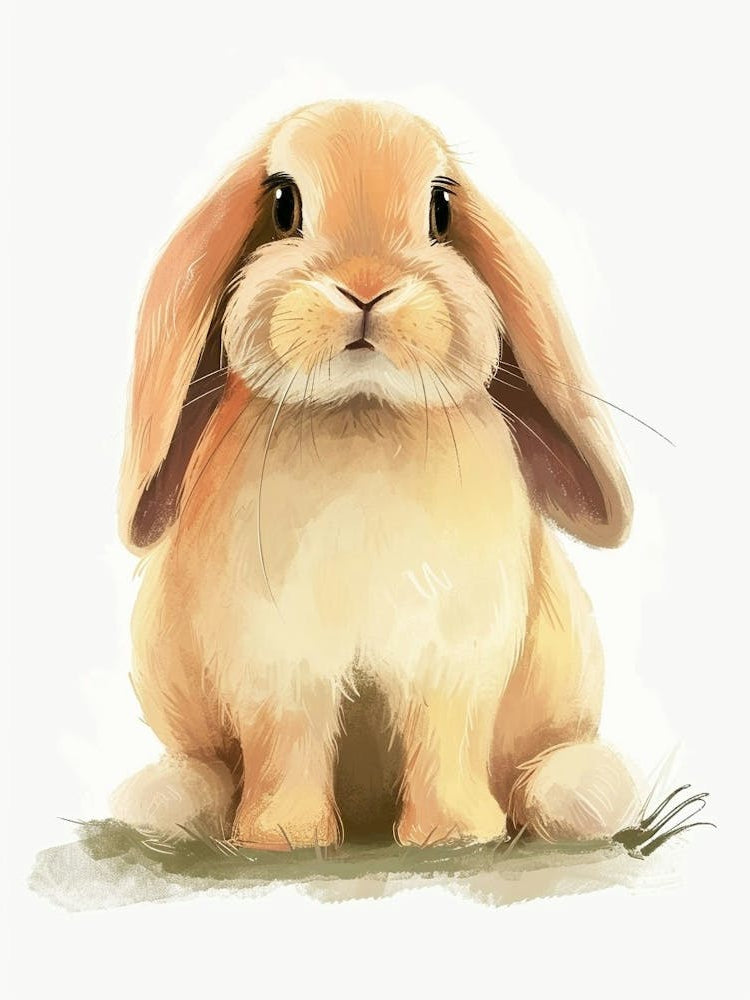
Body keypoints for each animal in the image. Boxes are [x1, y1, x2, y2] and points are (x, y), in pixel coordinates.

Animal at [111, 100, 639, 850]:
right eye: (283, 203)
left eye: (441, 208)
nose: (366, 286)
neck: (360, 413)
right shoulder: (278, 663)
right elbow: (289, 745)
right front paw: (285, 839)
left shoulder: (453, 654)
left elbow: (445, 738)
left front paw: (454, 836)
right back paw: (172, 804)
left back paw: (571, 800)